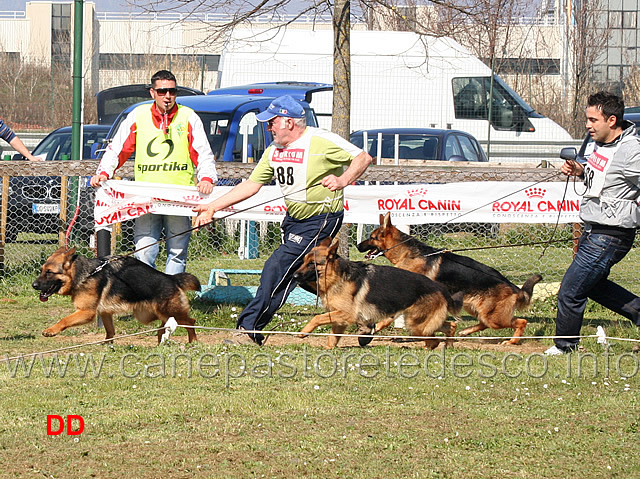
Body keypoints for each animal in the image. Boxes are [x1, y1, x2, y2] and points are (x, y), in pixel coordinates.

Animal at [32, 248, 201, 344]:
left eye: (49, 272)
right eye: (41, 270)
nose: (33, 285)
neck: (84, 274)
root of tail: (172, 278)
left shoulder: (87, 312)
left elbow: (64, 319)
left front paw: (51, 330)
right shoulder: (105, 313)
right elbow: (110, 331)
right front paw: (108, 347)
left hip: (168, 311)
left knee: (190, 322)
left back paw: (192, 343)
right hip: (148, 314)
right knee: (166, 324)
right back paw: (161, 340)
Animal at [292, 239, 462, 348]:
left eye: (312, 264)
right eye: (303, 261)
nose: (293, 276)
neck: (336, 276)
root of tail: (439, 287)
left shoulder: (346, 314)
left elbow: (317, 317)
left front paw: (304, 332)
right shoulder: (340, 319)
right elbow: (332, 339)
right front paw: (328, 350)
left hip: (416, 324)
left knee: (434, 340)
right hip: (423, 322)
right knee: (450, 326)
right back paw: (448, 345)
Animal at [358, 214, 544, 344]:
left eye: (372, 237)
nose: (358, 246)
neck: (410, 254)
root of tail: (514, 287)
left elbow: (390, 317)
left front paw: (377, 327)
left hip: (494, 317)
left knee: (521, 321)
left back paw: (512, 341)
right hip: (476, 309)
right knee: (484, 323)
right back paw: (465, 332)